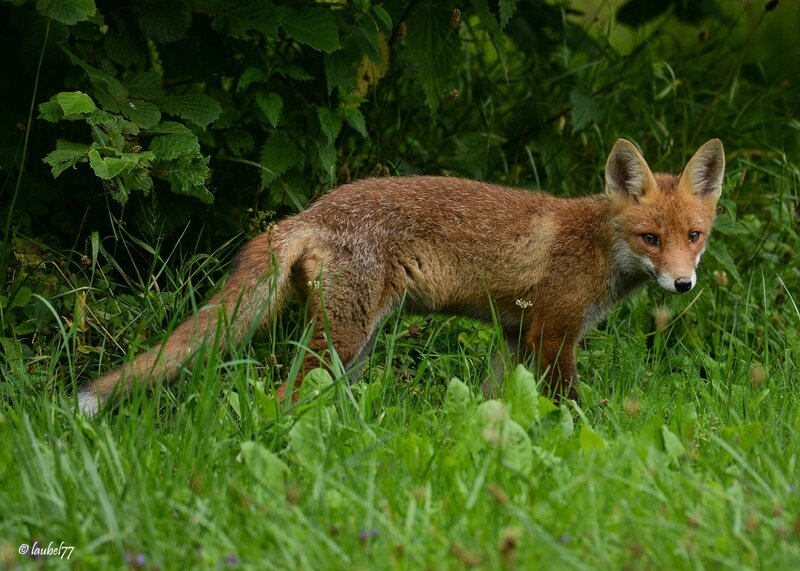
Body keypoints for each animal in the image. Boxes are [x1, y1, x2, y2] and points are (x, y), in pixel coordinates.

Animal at [79, 139, 724, 416]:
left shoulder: (516, 334)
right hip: (344, 337)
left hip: (352, 346)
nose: (682, 286)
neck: (597, 245)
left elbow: (494, 401)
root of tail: (305, 214)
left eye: (694, 237)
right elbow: (570, 407)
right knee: (285, 394)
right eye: (650, 239)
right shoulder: (553, 333)